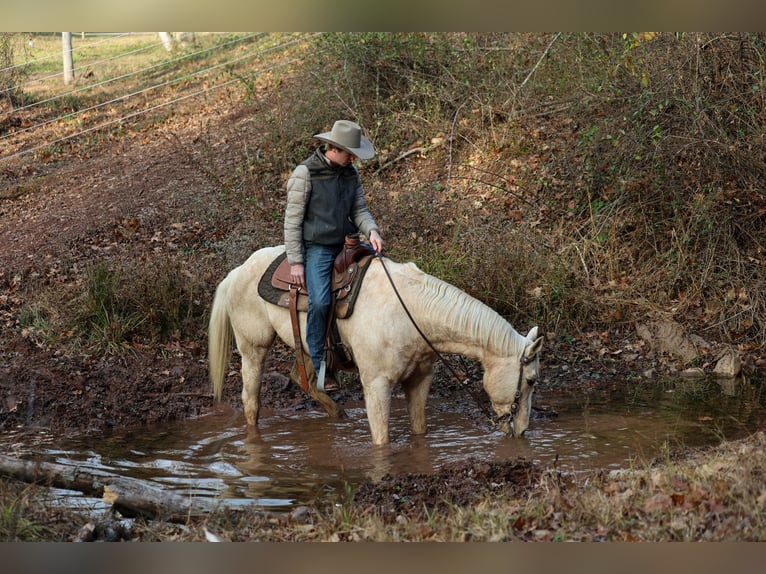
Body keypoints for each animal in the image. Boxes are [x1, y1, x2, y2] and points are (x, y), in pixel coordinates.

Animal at [208, 245, 543, 445]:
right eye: (531, 380)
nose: (522, 430)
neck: (411, 313)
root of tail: (239, 270)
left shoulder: (419, 380)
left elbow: (419, 430)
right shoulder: (377, 385)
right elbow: (381, 440)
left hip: (306, 347)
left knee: (303, 380)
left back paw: (339, 414)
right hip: (253, 348)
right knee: (251, 400)